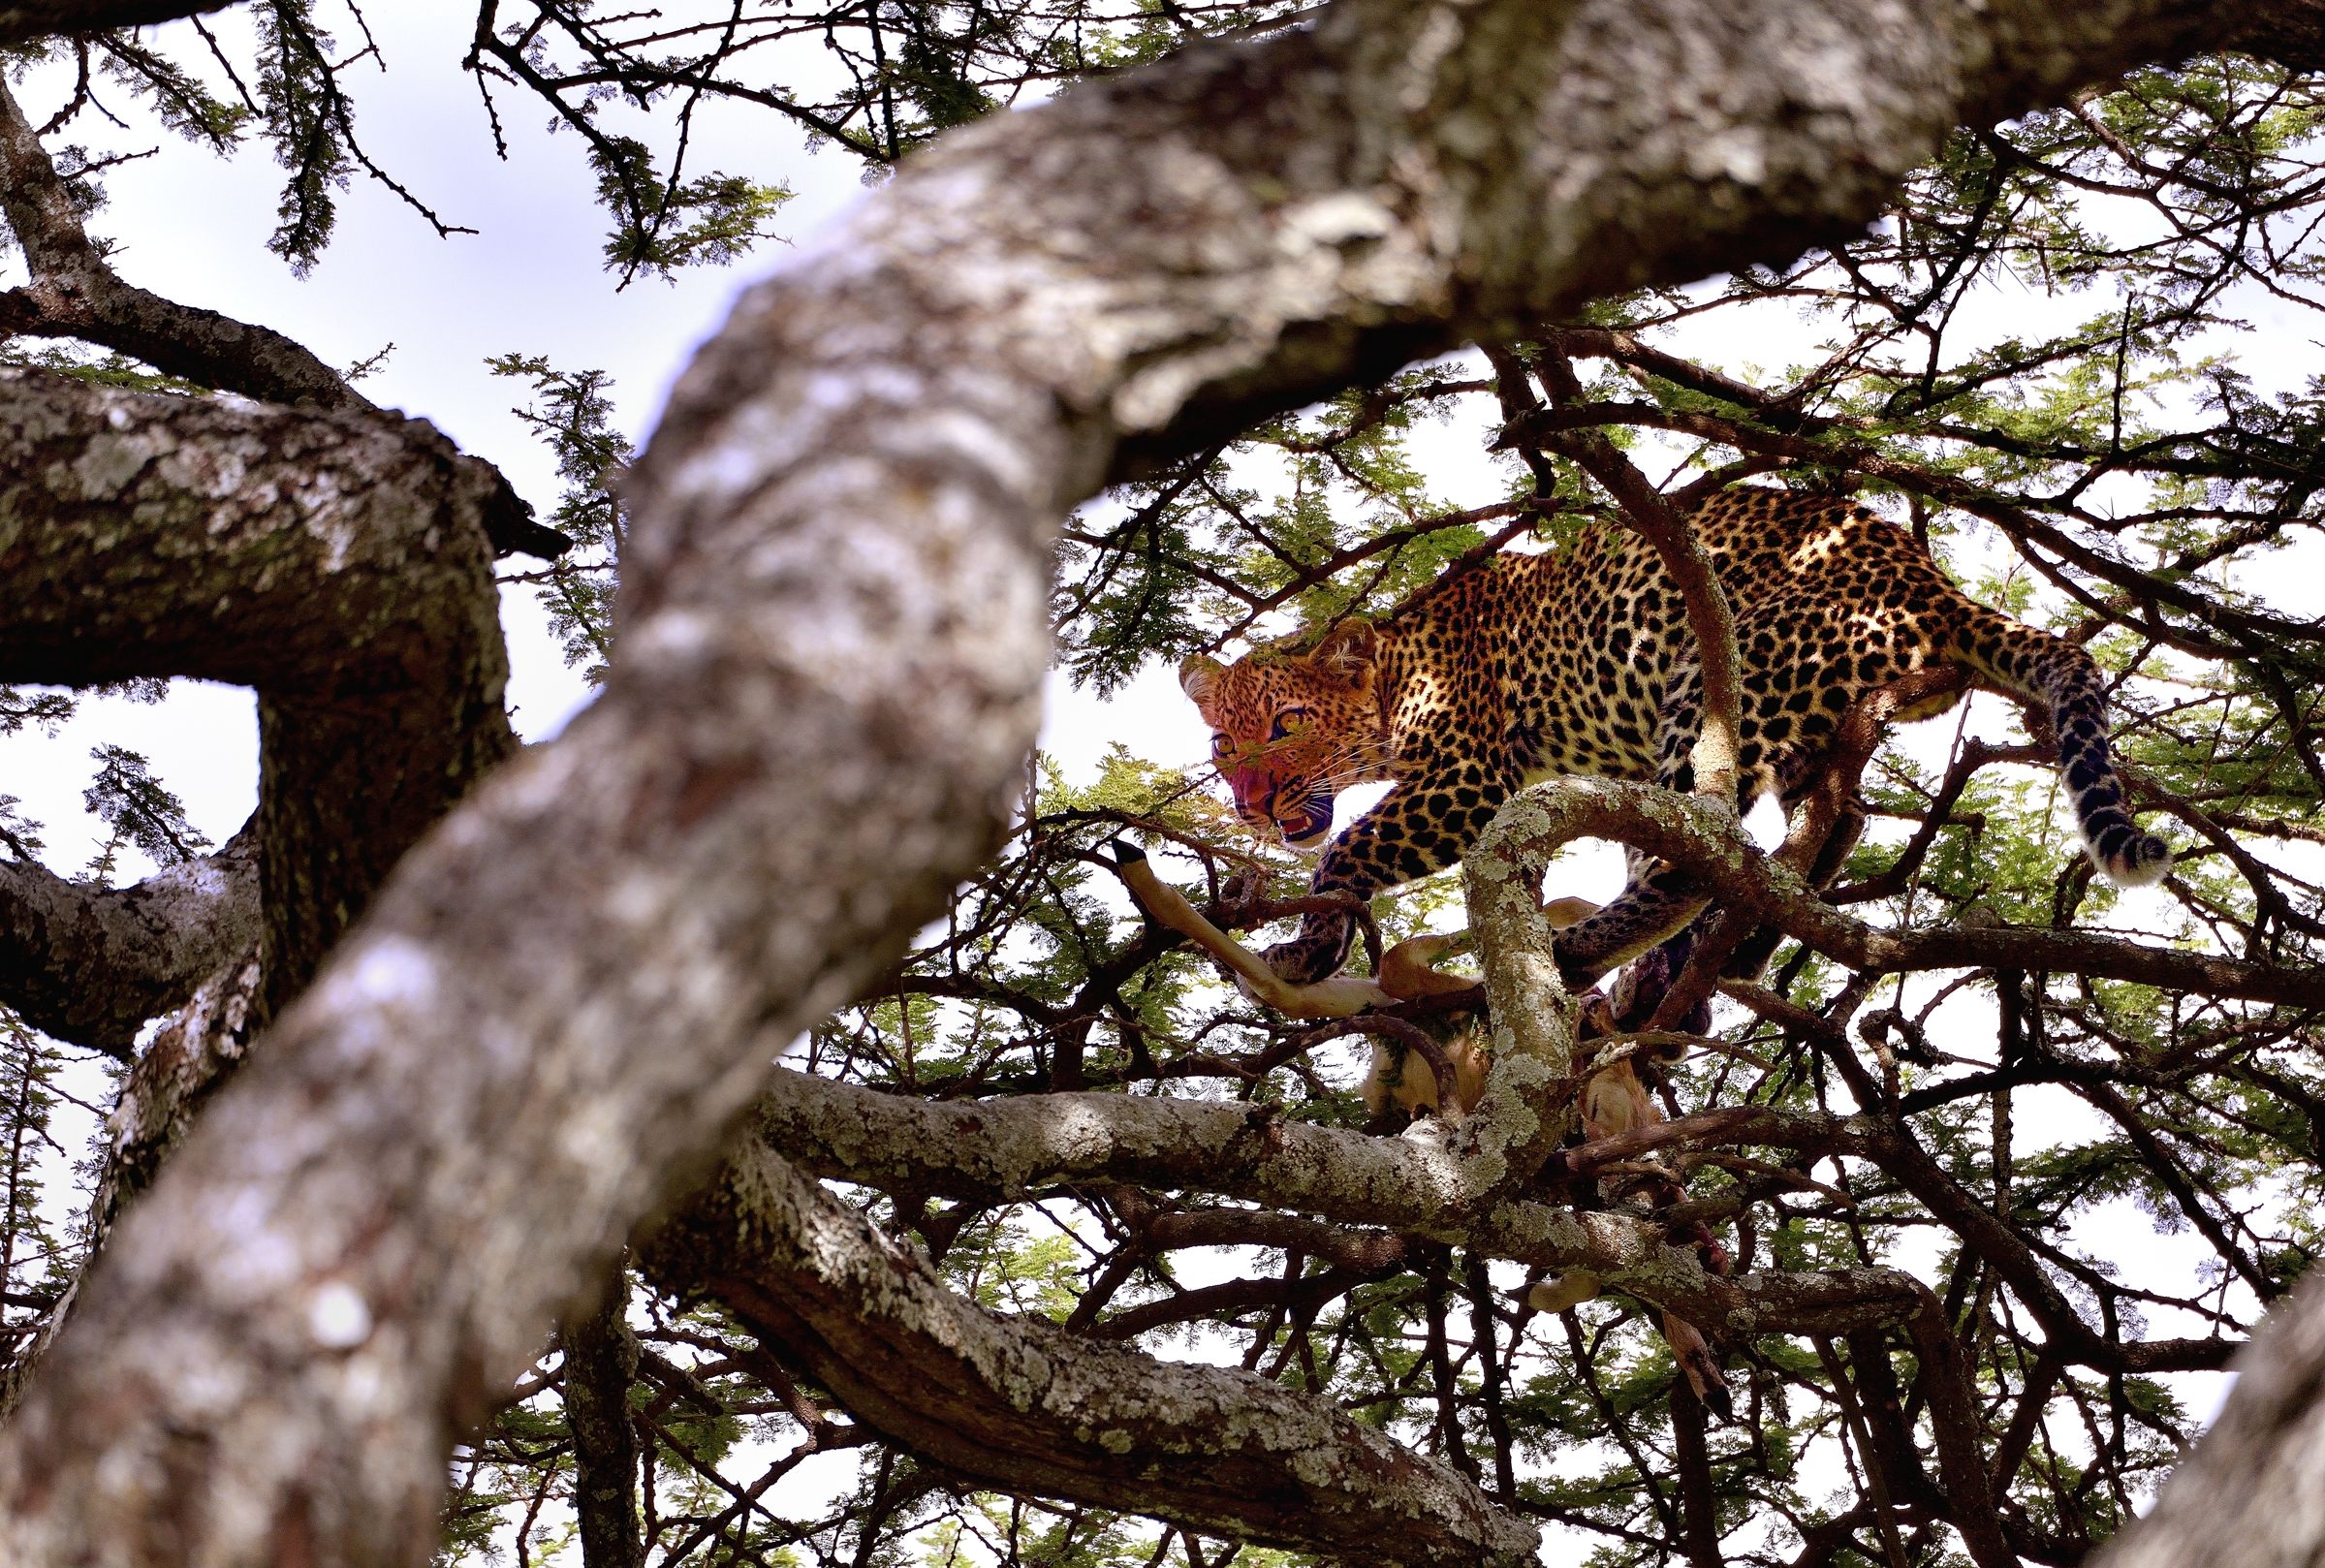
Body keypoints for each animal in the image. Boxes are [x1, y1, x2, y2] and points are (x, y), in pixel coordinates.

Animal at [1180, 485, 2172, 999]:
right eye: (1223, 745)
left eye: (1288, 725)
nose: (1251, 804)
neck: (1395, 670)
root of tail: (1926, 577)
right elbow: (1635, 844)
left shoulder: (1466, 776)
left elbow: (1347, 845)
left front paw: (1309, 944)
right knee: (1815, 829)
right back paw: (1717, 956)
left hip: (1715, 684)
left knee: (1712, 849)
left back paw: (1600, 956)